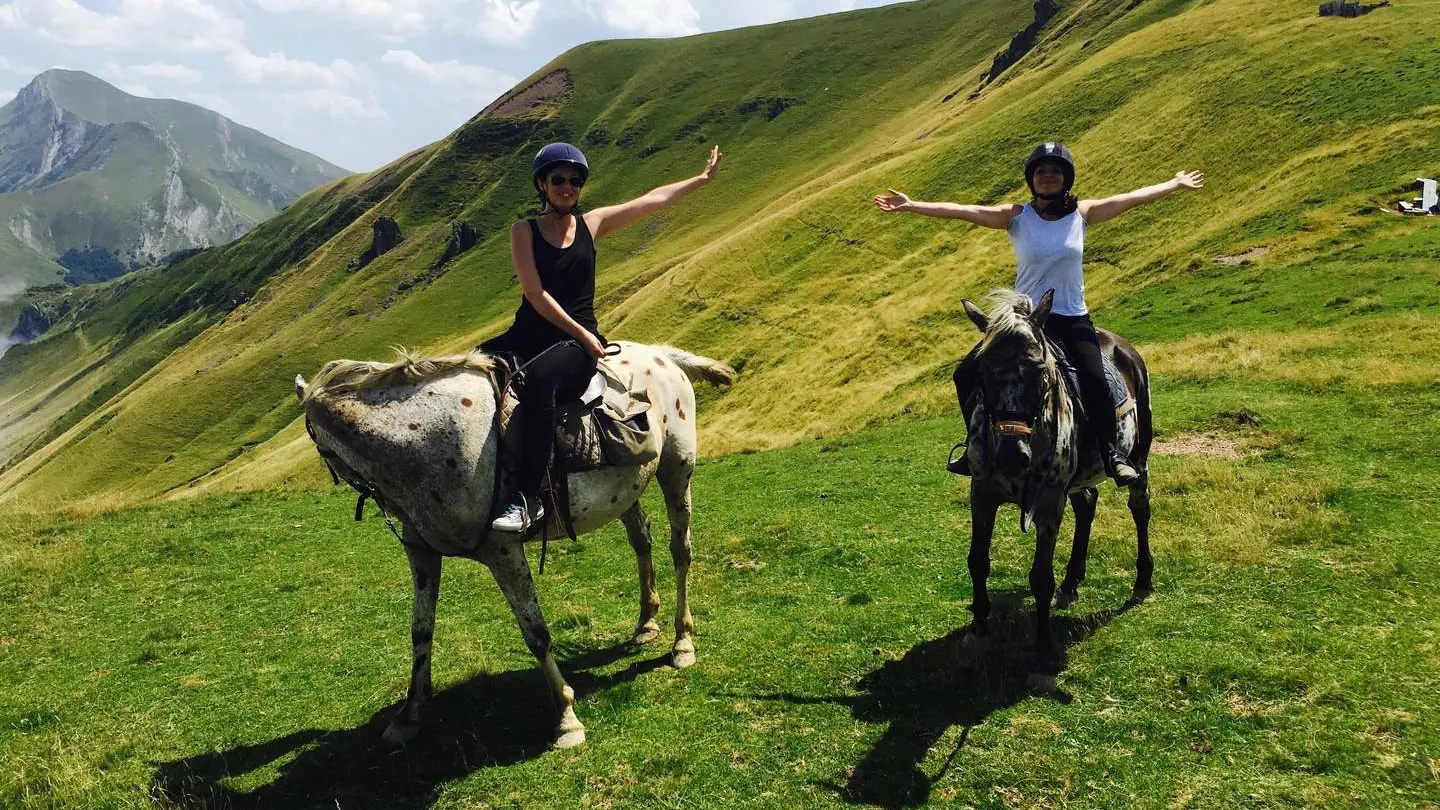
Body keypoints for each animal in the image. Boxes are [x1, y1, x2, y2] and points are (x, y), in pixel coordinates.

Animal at [298, 338, 737, 743]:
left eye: (325, 452)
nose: (383, 504)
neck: (427, 438)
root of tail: (661, 354)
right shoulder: (421, 554)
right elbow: (420, 631)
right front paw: (409, 715)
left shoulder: (502, 551)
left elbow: (536, 633)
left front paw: (566, 718)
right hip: (626, 491)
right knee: (641, 540)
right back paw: (646, 622)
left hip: (676, 471)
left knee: (680, 551)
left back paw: (682, 643)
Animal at [961, 289, 1152, 686]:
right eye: (983, 371)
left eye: (1039, 371)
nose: (1012, 455)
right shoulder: (981, 493)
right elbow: (977, 560)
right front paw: (980, 624)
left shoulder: (1049, 501)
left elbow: (1040, 578)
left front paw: (1043, 650)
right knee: (1087, 505)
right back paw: (1072, 583)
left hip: (1139, 458)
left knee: (1140, 510)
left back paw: (1143, 580)